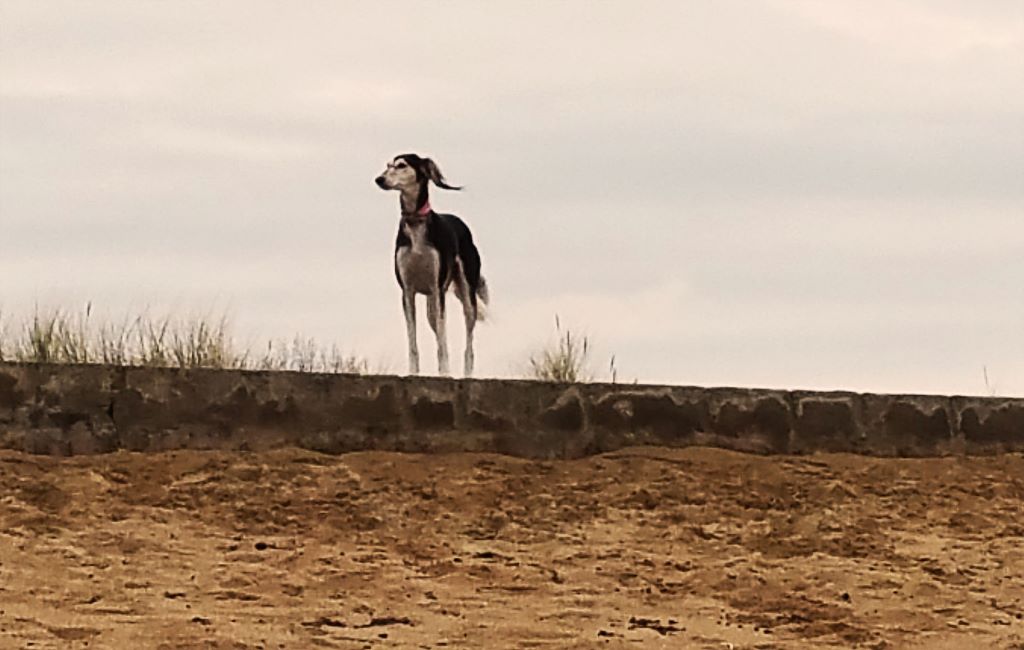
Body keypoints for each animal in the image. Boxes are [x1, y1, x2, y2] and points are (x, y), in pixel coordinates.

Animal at [374, 156, 489, 376]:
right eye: (387, 166)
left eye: (401, 165)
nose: (379, 179)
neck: (416, 222)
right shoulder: (407, 291)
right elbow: (413, 341)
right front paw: (413, 372)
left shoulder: (438, 289)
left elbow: (444, 341)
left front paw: (445, 373)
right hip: (430, 309)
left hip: (467, 297)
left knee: (468, 343)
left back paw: (466, 374)